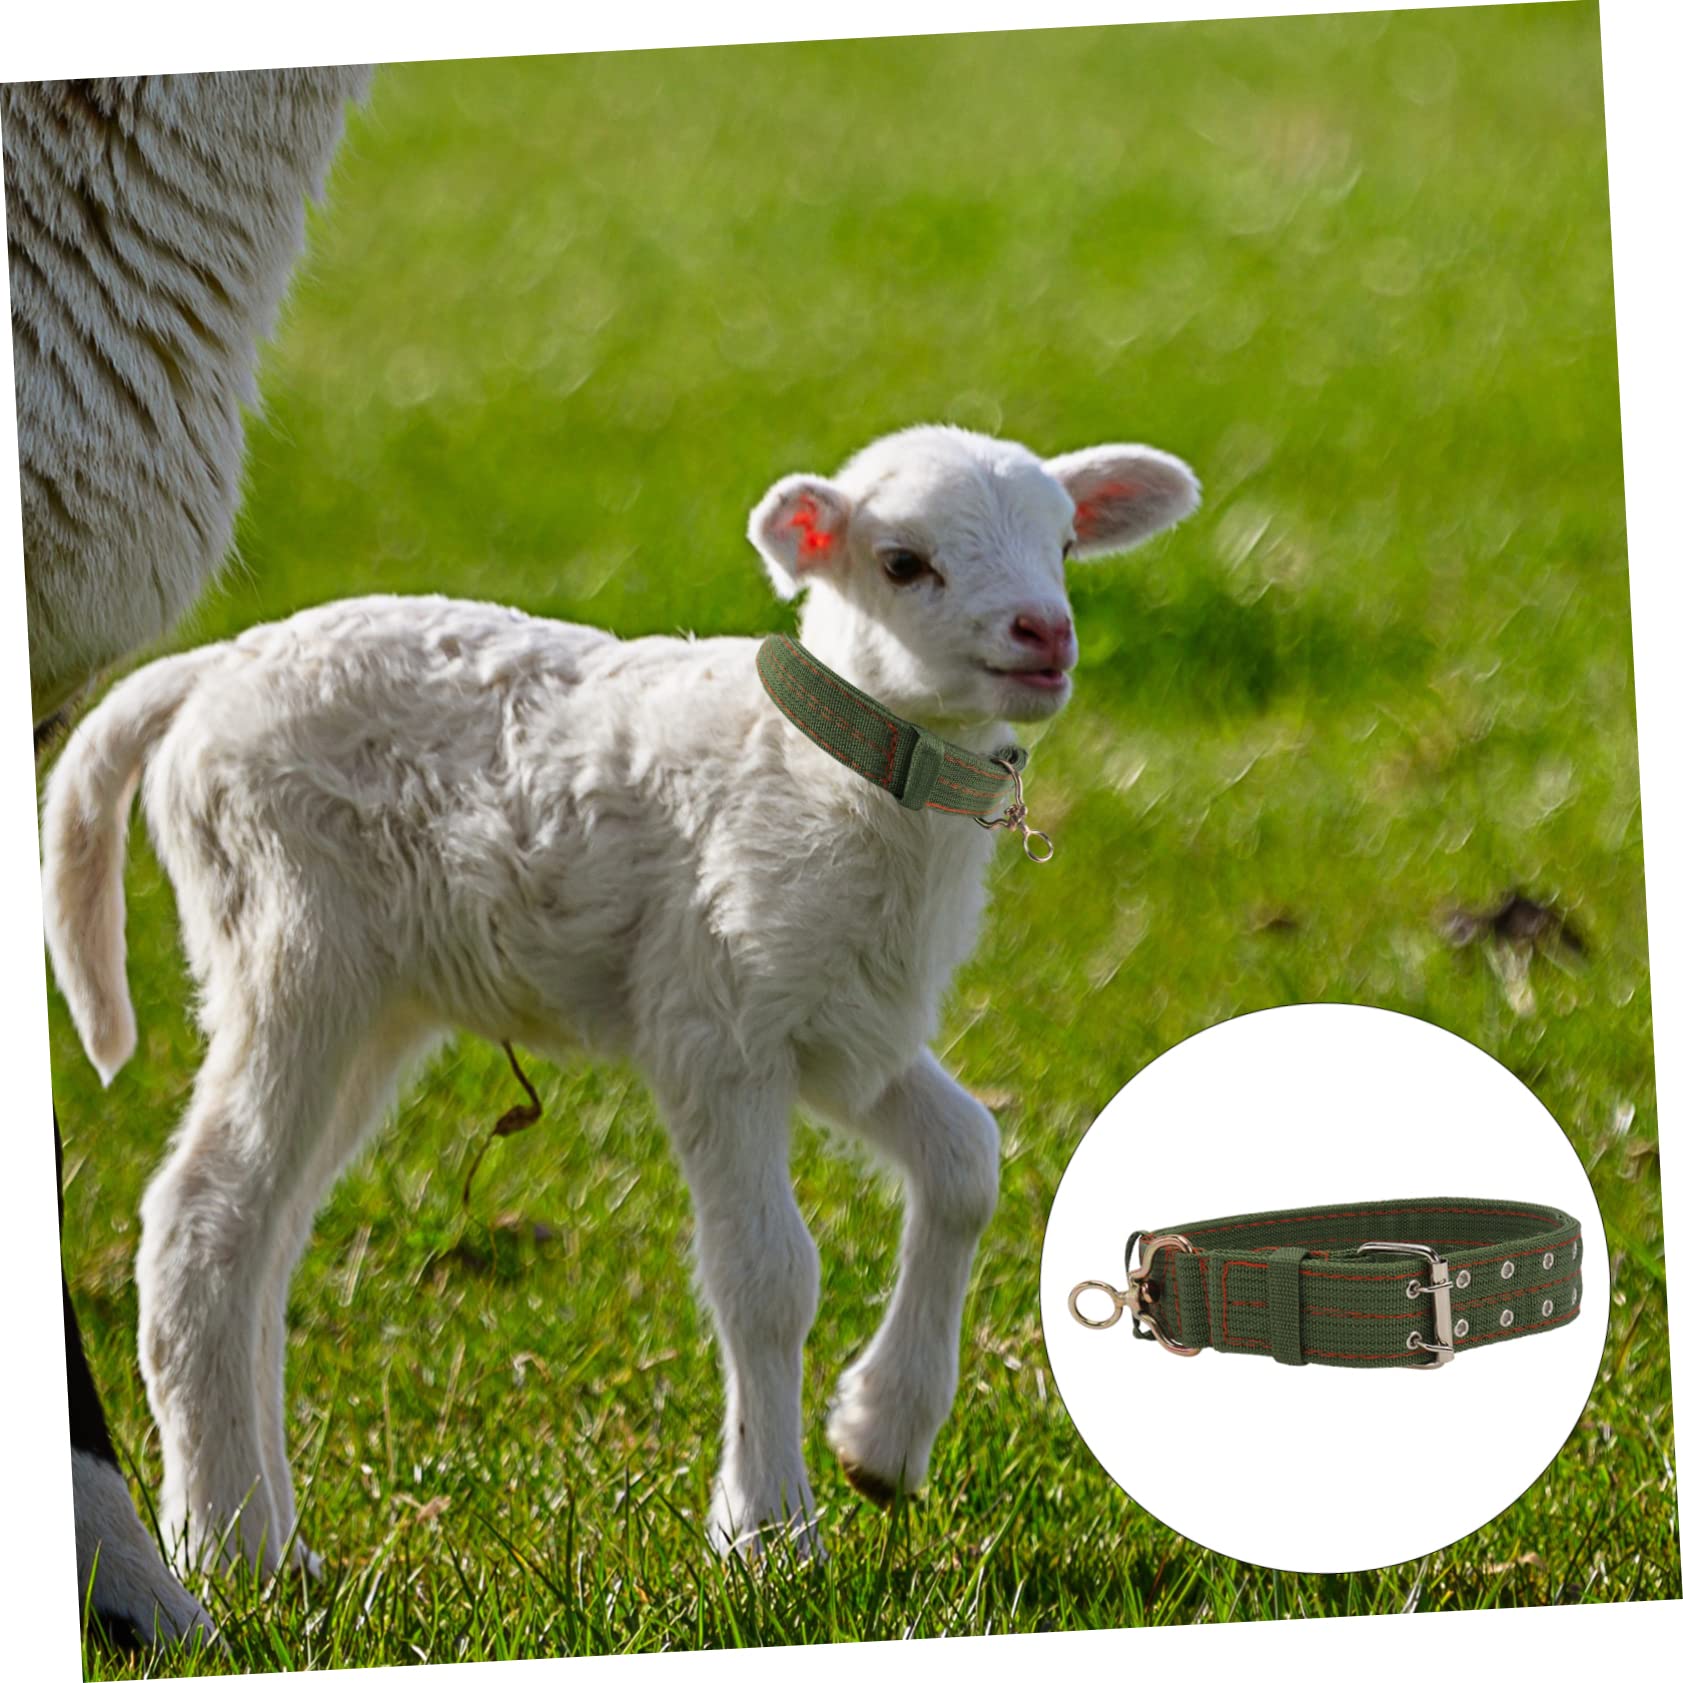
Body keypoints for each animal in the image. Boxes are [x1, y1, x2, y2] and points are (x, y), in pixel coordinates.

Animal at [41, 424, 1199, 1569]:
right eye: (903, 562)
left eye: (1063, 542)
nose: (1044, 633)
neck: (827, 775)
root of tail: (206, 672)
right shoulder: (714, 1018)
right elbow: (766, 1275)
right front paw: (767, 1533)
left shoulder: (840, 1022)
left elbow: (965, 1160)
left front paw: (881, 1441)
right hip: (286, 941)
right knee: (201, 1214)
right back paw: (227, 1546)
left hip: (375, 997)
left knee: (267, 1237)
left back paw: (272, 1538)